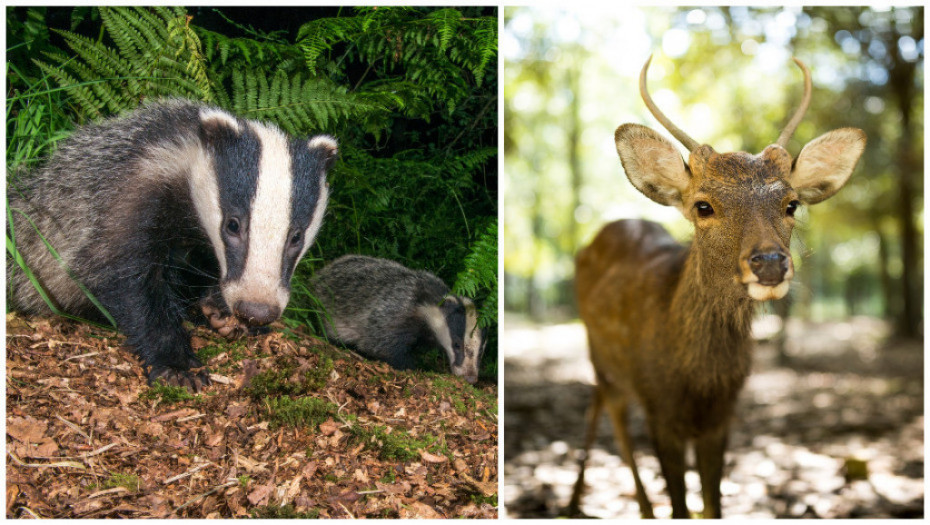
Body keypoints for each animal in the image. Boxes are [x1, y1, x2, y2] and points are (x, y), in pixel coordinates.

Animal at [564, 55, 864, 516]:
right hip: (601, 357)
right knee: (611, 412)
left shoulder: (722, 417)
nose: (770, 263)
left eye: (792, 203)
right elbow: (680, 504)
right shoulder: (659, 410)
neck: (698, 380)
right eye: (703, 206)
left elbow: (712, 503)